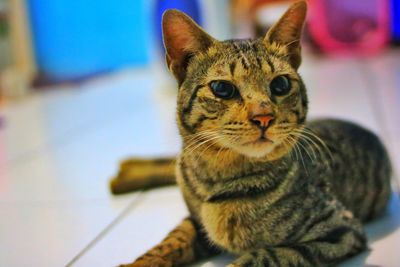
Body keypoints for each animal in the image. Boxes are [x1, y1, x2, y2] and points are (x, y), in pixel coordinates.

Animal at [111, 1, 392, 266]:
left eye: (281, 84)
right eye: (222, 88)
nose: (263, 117)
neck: (217, 178)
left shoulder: (340, 230)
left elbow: (266, 256)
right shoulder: (194, 220)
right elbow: (171, 241)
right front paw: (140, 262)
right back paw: (125, 172)